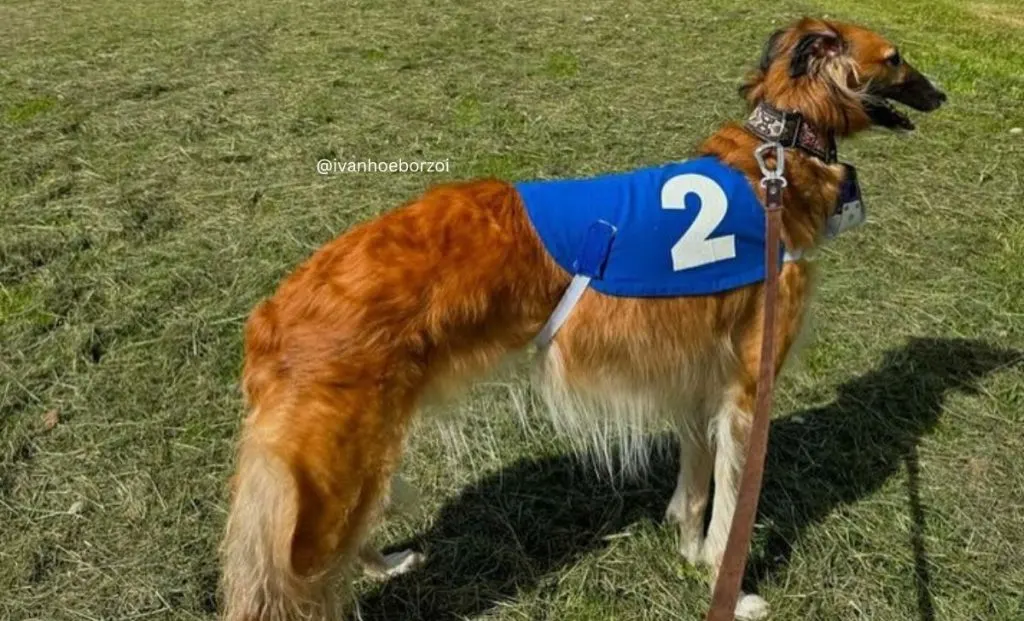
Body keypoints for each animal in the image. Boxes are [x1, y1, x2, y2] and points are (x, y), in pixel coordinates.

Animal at [220, 17, 946, 621]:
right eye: (896, 57)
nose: (941, 94)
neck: (778, 157)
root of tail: (268, 318)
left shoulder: (699, 386)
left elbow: (695, 490)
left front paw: (688, 553)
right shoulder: (746, 392)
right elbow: (730, 514)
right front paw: (729, 589)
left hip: (356, 471)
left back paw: (386, 561)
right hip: (331, 489)